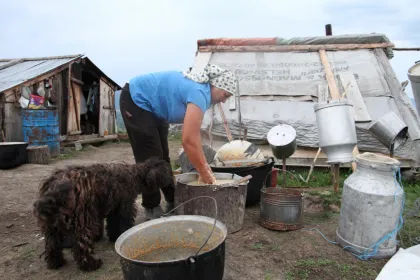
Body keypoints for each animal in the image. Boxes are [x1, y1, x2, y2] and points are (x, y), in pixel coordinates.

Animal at [32, 158, 174, 272]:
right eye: (166, 169)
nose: (171, 178)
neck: (135, 174)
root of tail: (52, 185)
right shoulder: (123, 206)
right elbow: (121, 223)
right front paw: (118, 235)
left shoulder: (106, 208)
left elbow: (107, 224)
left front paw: (103, 236)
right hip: (81, 219)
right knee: (81, 245)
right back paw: (91, 264)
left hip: (51, 225)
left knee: (51, 244)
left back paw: (55, 262)